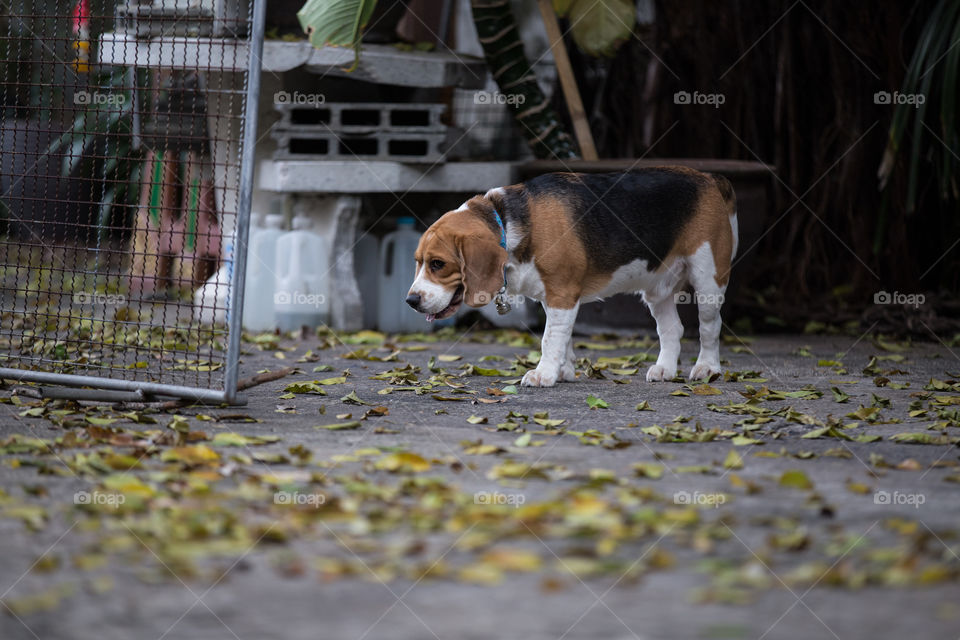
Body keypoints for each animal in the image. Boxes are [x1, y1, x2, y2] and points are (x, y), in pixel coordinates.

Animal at [402, 166, 740, 384]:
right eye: (418, 261)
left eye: (437, 264)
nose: (411, 301)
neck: (508, 222)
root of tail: (710, 178)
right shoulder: (554, 298)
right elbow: (562, 337)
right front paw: (563, 371)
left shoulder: (562, 294)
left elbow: (550, 338)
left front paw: (544, 374)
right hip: (658, 289)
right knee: (672, 330)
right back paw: (665, 370)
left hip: (708, 281)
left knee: (710, 327)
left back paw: (708, 368)